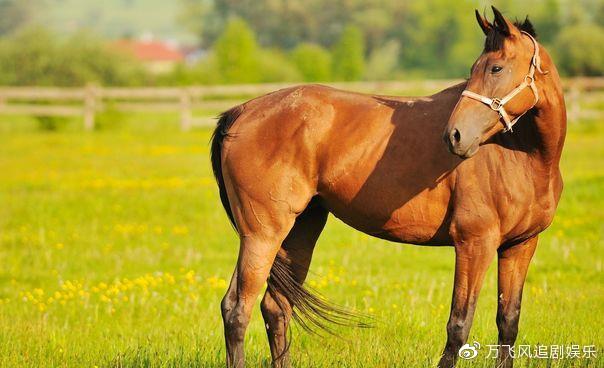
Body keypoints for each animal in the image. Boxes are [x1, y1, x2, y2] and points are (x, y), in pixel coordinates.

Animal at [211, 7, 568, 368]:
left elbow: (508, 321)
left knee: (275, 308)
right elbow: (459, 324)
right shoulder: (474, 244)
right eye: (474, 69)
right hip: (262, 235)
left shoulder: (520, 245)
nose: (454, 136)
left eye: (496, 68)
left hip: (299, 231)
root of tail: (240, 113)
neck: (522, 155)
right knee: (237, 309)